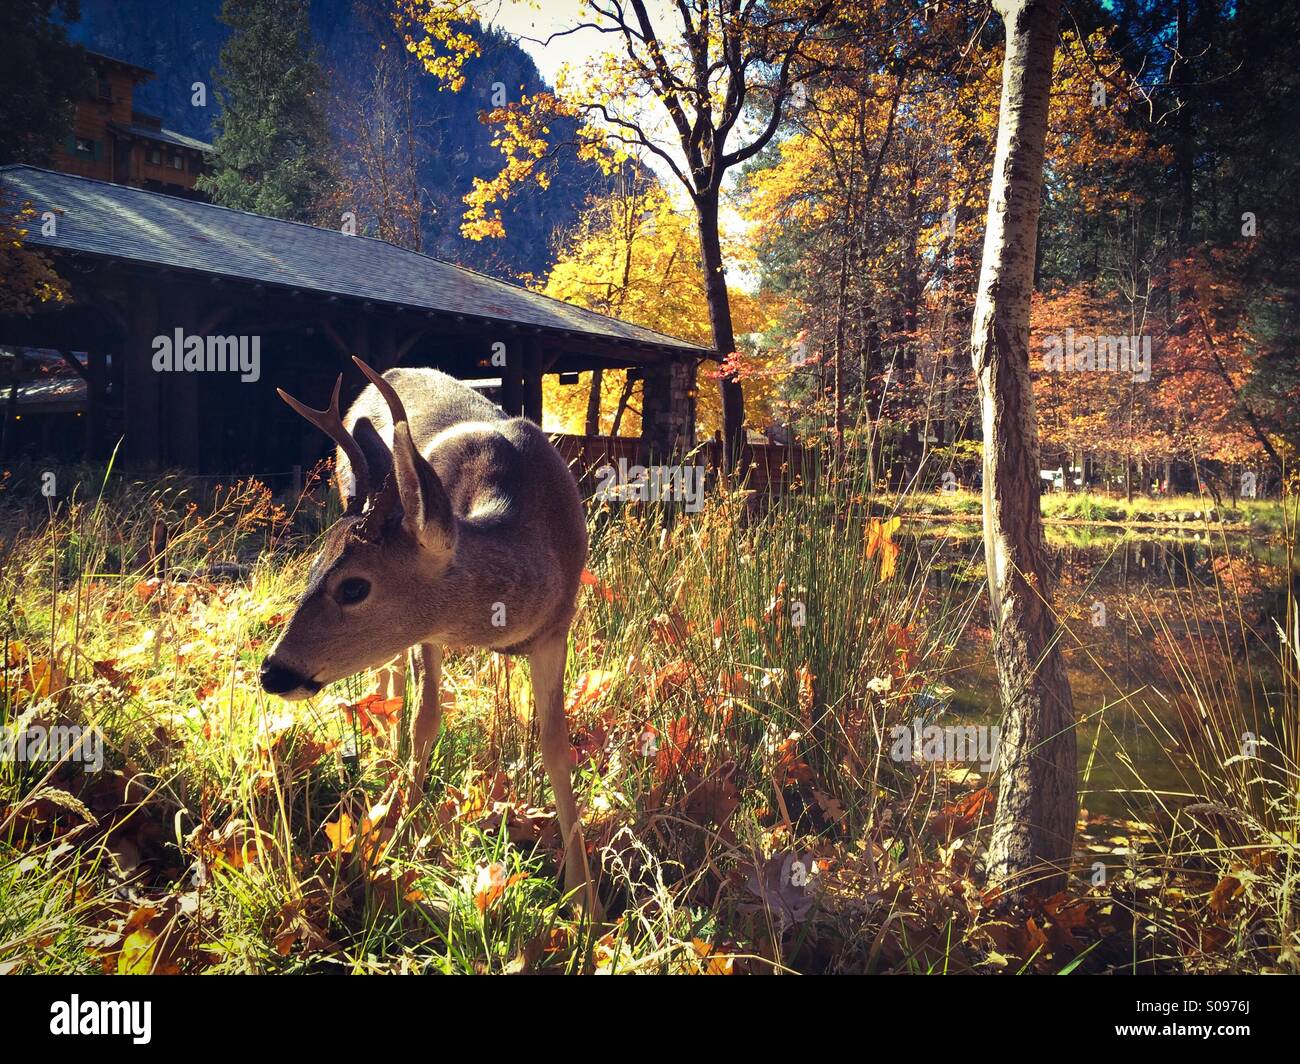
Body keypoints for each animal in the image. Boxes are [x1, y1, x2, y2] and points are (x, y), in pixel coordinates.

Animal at [260, 356, 598, 916]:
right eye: (312, 569)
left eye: (354, 586)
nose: (272, 672)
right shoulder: (428, 632)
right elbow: (427, 720)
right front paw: (398, 841)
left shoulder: (557, 628)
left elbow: (555, 744)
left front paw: (585, 902)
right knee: (392, 676)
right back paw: (386, 756)